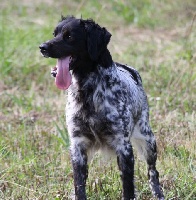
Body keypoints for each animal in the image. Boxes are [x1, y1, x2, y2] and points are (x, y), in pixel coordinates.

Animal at [39, 16, 164, 200]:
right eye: (55, 34)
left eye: (69, 36)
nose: (43, 47)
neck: (88, 92)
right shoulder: (77, 146)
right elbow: (79, 186)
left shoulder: (123, 147)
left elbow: (128, 188)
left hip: (147, 140)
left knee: (152, 171)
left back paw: (158, 192)